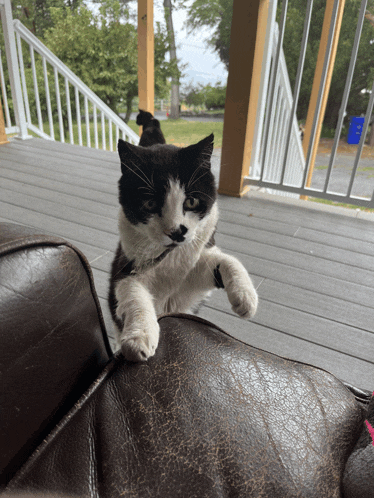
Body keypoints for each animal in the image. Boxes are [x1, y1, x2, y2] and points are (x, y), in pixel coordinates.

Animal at [109, 132, 258, 362]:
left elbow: (226, 260)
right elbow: (133, 292)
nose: (176, 232)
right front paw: (139, 337)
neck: (171, 259)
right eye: (150, 204)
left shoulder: (194, 269)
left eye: (191, 201)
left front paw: (246, 297)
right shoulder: (125, 267)